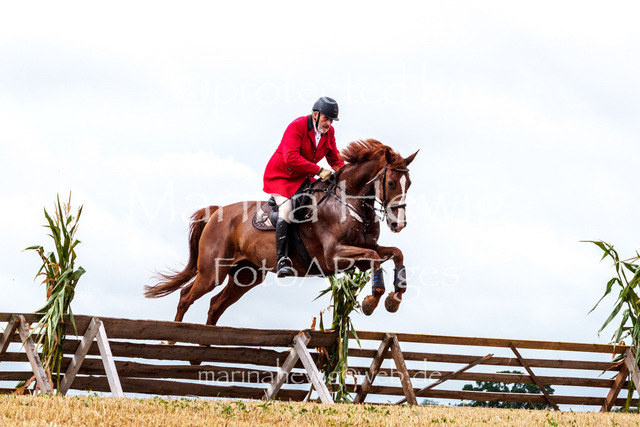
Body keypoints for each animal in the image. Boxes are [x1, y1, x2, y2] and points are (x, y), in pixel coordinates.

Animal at [145, 139, 418, 326]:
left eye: (409, 184)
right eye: (391, 183)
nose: (399, 224)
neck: (348, 201)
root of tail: (216, 212)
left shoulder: (361, 254)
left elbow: (395, 253)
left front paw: (394, 297)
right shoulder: (333, 257)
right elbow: (375, 257)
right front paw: (373, 299)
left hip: (247, 275)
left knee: (215, 305)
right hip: (213, 271)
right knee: (186, 296)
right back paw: (173, 341)